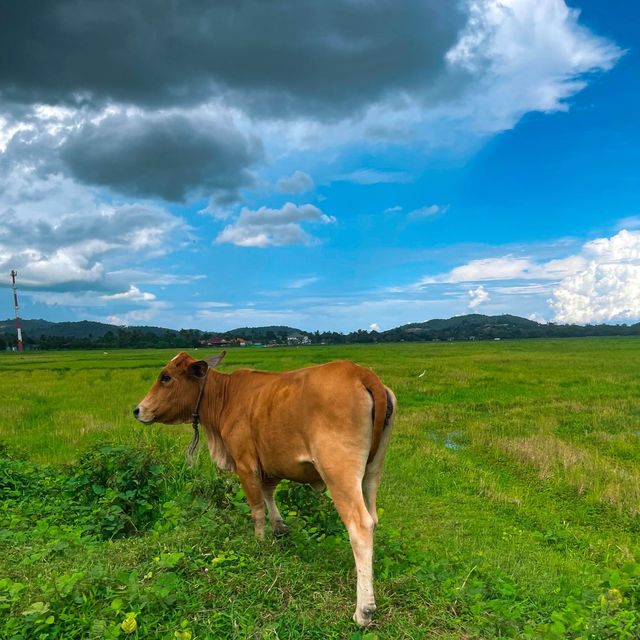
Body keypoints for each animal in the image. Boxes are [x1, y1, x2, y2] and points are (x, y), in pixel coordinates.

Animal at [134, 350, 396, 624]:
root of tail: (360, 372)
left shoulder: (245, 463)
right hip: (372, 470)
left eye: (165, 377)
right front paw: (279, 527)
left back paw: (364, 609)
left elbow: (256, 508)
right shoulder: (269, 463)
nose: (137, 410)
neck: (225, 396)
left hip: (339, 471)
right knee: (373, 518)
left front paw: (259, 541)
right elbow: (269, 494)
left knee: (360, 526)